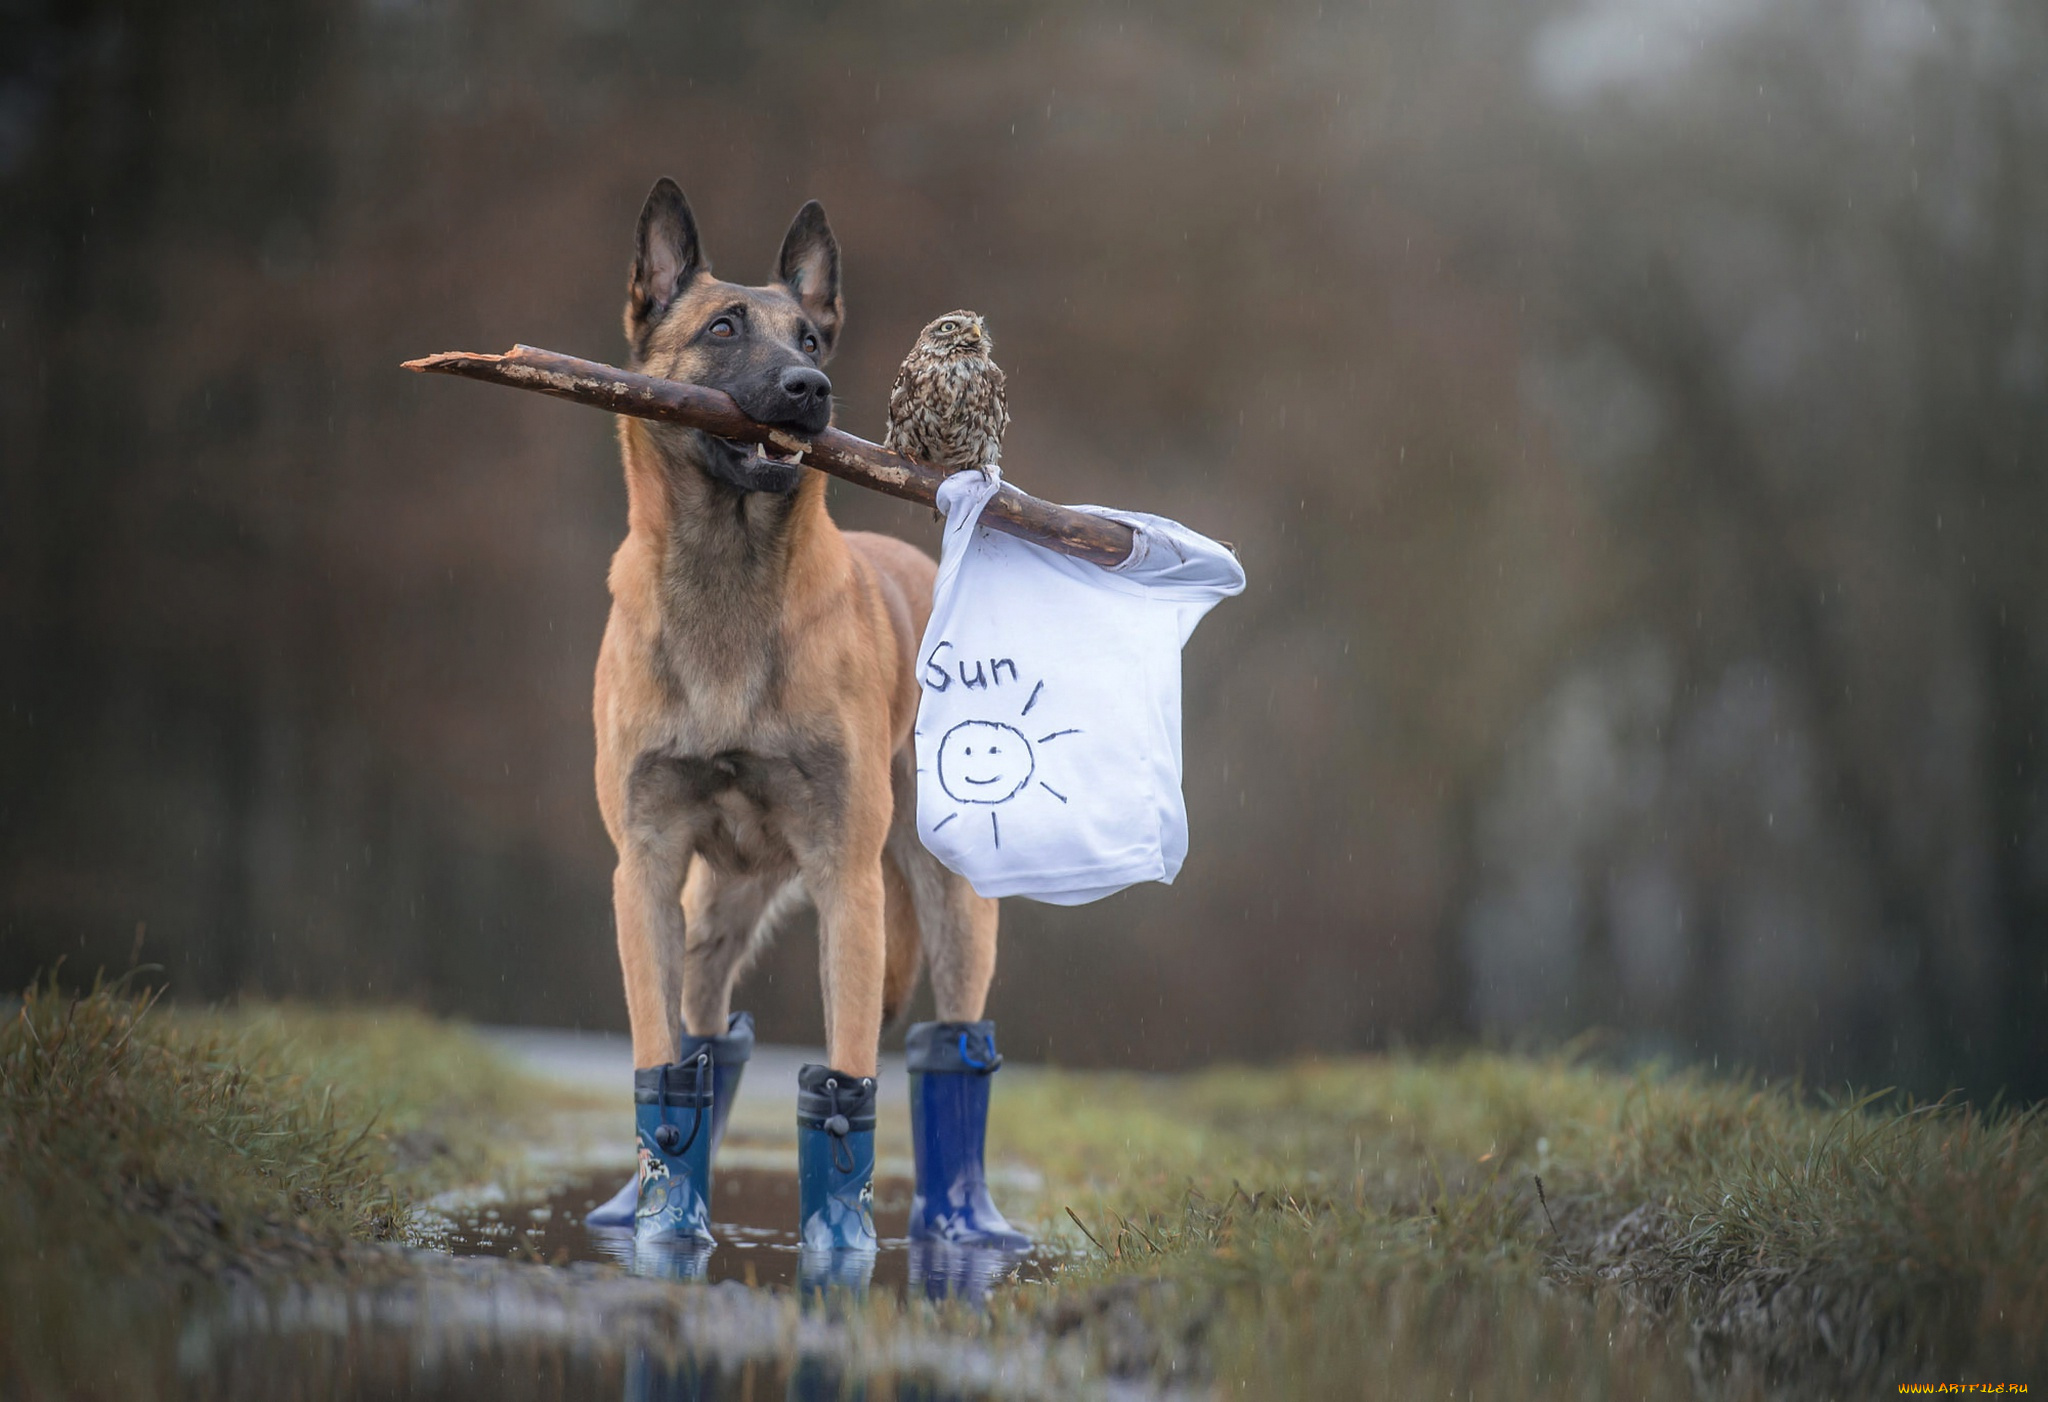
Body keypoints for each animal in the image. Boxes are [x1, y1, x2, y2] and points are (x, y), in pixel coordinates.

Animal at [593, 180, 999, 1080]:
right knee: (707, 1028)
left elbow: (849, 1068)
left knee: (956, 1039)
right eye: (722, 328)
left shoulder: (846, 878)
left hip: (949, 902)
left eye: (811, 338)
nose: (810, 387)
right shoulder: (646, 865)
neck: (727, 574)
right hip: (718, 907)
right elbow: (659, 1058)